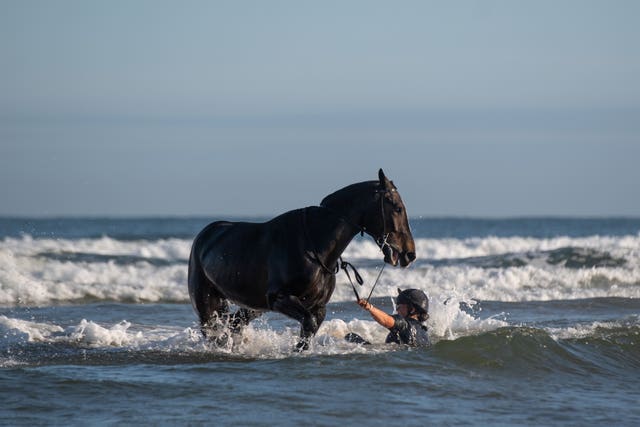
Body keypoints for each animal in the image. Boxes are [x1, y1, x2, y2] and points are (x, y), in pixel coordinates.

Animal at [186, 169, 416, 350]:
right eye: (397, 207)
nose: (409, 254)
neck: (314, 246)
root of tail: (205, 236)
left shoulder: (318, 307)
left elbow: (309, 330)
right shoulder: (280, 298)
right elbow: (308, 323)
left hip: (252, 306)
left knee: (234, 324)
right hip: (207, 302)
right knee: (215, 331)